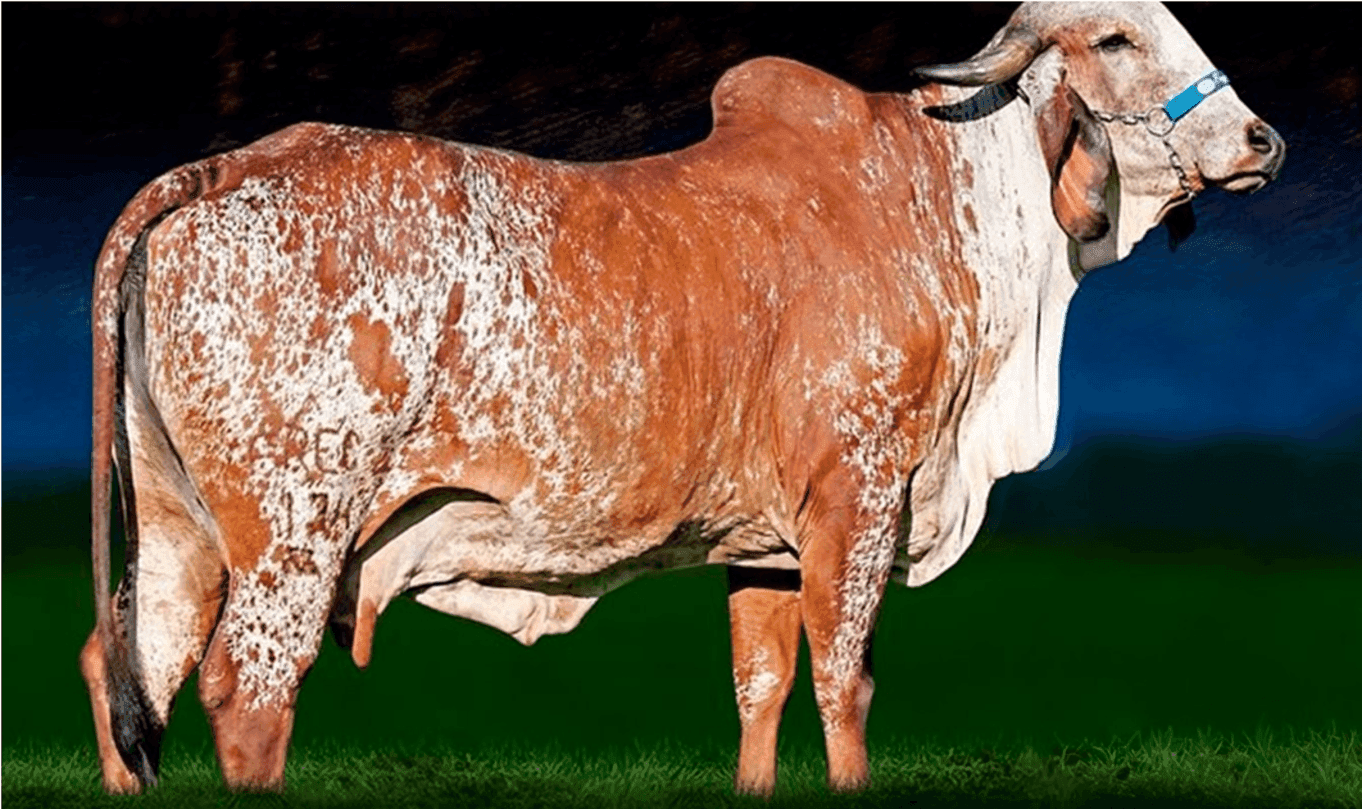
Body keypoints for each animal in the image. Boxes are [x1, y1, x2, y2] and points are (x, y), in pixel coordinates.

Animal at [81, 1, 1284, 796]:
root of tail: (220, 167)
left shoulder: (767, 540)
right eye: (1118, 39)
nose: (1262, 139)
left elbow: (762, 684)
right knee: (247, 692)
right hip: (295, 529)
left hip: (182, 528)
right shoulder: (857, 498)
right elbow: (844, 685)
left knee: (124, 658)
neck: (948, 201)